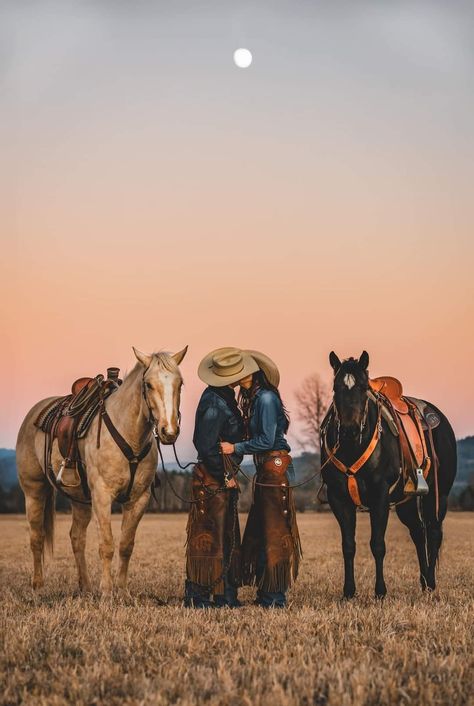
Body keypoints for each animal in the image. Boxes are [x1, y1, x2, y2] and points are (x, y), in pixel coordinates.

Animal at [16, 346, 187, 592]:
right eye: (148, 384)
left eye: (180, 383)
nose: (169, 431)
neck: (129, 435)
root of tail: (36, 411)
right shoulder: (102, 495)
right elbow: (106, 545)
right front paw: (106, 591)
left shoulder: (138, 499)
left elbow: (126, 545)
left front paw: (122, 591)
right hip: (34, 491)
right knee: (36, 536)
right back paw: (38, 585)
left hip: (79, 499)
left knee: (77, 537)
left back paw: (86, 586)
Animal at [320, 350, 458, 596]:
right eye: (336, 388)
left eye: (363, 387)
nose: (349, 430)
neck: (353, 448)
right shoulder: (338, 498)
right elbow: (348, 546)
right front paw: (349, 591)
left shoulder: (380, 497)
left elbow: (377, 544)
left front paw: (380, 591)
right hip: (407, 502)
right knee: (418, 532)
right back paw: (423, 580)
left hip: (438, 496)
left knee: (433, 532)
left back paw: (431, 583)